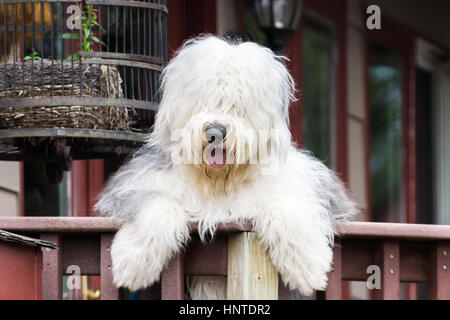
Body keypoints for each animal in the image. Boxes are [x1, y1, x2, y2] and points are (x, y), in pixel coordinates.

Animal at [95, 35, 358, 298]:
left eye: (238, 105)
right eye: (202, 101)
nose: (215, 132)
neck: (219, 182)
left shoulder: (315, 188)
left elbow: (287, 206)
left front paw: (307, 265)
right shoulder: (130, 187)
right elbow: (158, 204)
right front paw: (133, 263)